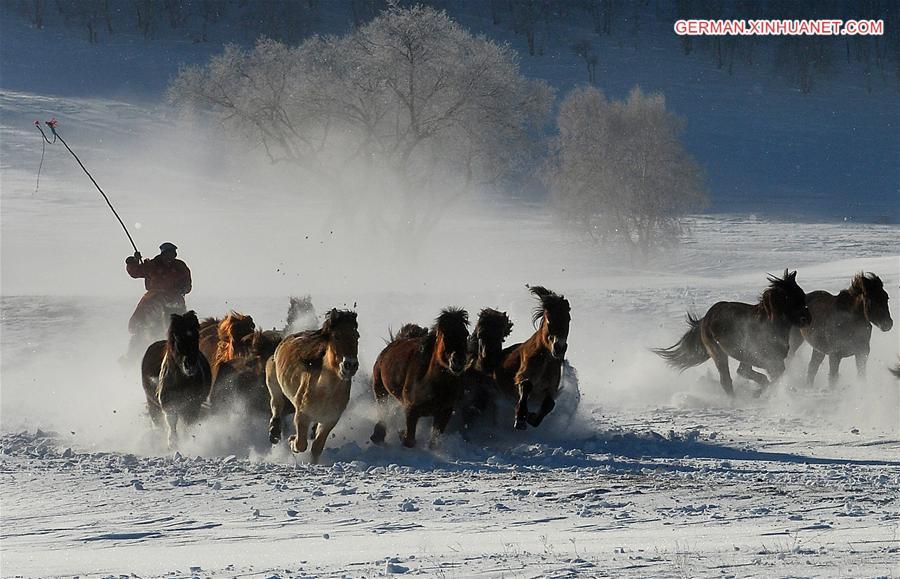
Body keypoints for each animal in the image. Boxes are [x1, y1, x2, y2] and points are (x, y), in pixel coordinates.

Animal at [140, 312, 212, 448]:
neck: (181, 381)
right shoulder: (169, 405)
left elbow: (189, 426)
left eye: (196, 337)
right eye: (177, 338)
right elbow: (171, 423)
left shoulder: (193, 405)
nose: (190, 366)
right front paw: (172, 443)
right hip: (152, 403)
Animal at [264, 310, 358, 464]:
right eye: (336, 336)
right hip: (273, 381)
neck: (326, 392)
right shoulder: (302, 414)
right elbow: (301, 444)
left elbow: (317, 447)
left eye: (357, 336)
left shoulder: (330, 420)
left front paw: (314, 464)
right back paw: (274, 432)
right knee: (277, 404)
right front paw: (292, 441)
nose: (350, 365)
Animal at [370, 308, 472, 448]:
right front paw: (402, 435)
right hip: (380, 390)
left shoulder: (445, 412)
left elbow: (433, 442)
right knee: (383, 411)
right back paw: (378, 436)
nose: (458, 361)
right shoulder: (411, 410)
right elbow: (410, 440)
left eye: (465, 334)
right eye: (444, 334)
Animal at [492, 286, 568, 430]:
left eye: (568, 319)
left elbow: (550, 403)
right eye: (549, 319)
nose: (559, 348)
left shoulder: (551, 388)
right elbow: (526, 385)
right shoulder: (522, 376)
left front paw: (532, 418)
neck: (545, 360)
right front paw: (521, 419)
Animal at [652, 270, 816, 396]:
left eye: (802, 295)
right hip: (718, 354)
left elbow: (751, 373)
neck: (769, 324)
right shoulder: (768, 361)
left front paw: (758, 391)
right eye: (790, 298)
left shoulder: (760, 360)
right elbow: (771, 377)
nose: (807, 319)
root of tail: (706, 317)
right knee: (726, 381)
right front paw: (758, 393)